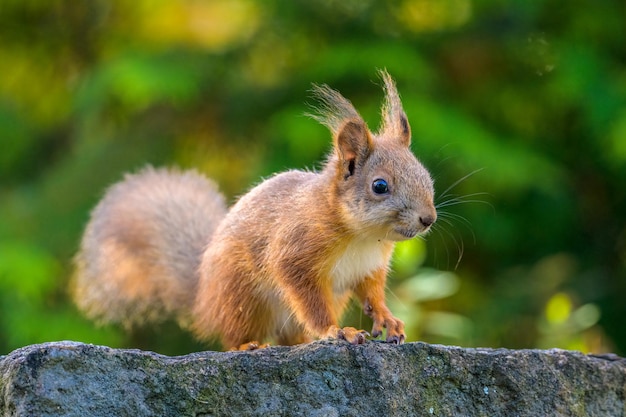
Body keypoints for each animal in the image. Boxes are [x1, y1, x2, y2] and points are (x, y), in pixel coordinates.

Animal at [72, 70, 434, 350]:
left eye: (425, 174)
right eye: (380, 186)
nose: (428, 219)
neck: (363, 236)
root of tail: (203, 298)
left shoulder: (369, 268)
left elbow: (372, 294)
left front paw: (388, 319)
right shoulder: (296, 250)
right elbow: (309, 299)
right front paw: (336, 331)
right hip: (243, 297)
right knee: (234, 337)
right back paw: (249, 346)